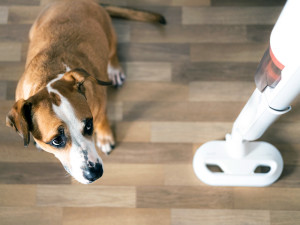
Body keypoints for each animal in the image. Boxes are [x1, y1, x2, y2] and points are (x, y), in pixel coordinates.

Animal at [6, 0, 166, 184]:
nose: (95, 173)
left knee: (112, 52)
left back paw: (114, 69)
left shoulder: (100, 106)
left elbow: (103, 120)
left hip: (109, 33)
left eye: (89, 125)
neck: (49, 77)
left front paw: (105, 138)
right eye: (56, 141)